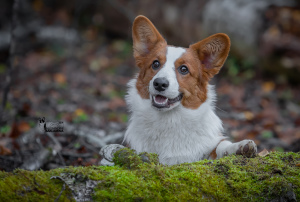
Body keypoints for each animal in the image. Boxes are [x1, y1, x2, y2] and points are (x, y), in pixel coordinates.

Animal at [120, 15, 256, 165]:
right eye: (155, 64)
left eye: (184, 69)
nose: (160, 83)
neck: (169, 120)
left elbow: (221, 146)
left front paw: (239, 147)